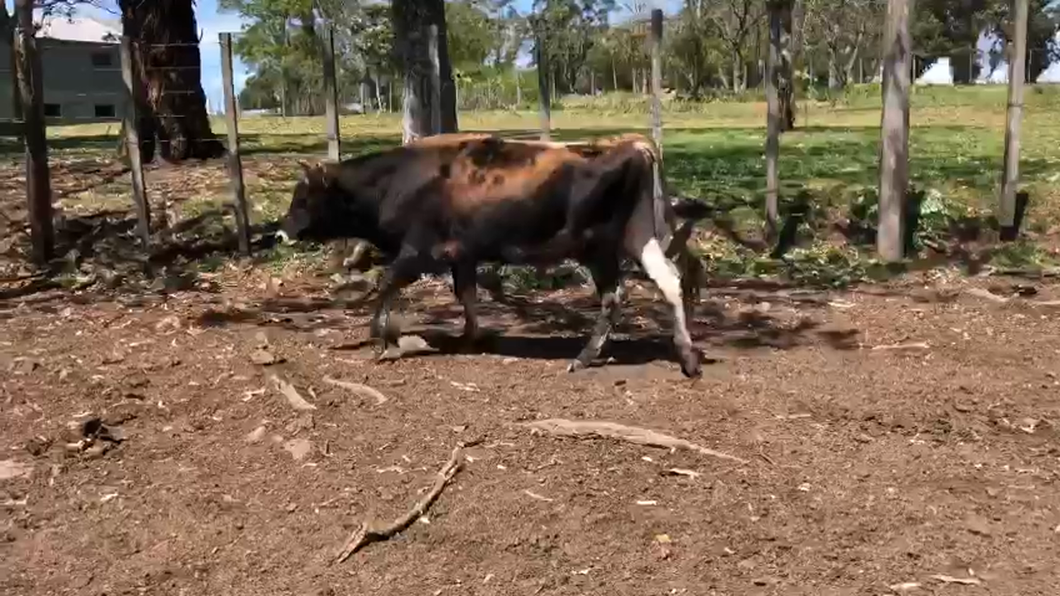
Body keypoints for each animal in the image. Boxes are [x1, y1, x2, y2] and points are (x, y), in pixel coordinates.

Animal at [281, 133, 708, 375]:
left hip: (597, 247)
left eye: (303, 197)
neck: (398, 180)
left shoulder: (419, 250)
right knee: (669, 280)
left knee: (614, 296)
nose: (282, 230)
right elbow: (466, 293)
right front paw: (471, 336)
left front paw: (382, 339)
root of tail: (631, 146)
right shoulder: (462, 254)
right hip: (638, 237)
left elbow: (388, 283)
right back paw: (686, 356)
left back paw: (585, 356)